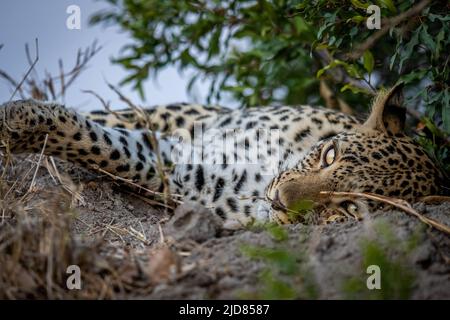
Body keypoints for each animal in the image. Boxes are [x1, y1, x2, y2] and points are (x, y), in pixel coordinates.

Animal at [0, 84, 444, 229]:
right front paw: (17, 118)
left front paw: (19, 124)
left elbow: (104, 145)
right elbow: (97, 130)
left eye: (348, 208)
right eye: (329, 154)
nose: (279, 200)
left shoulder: (188, 174)